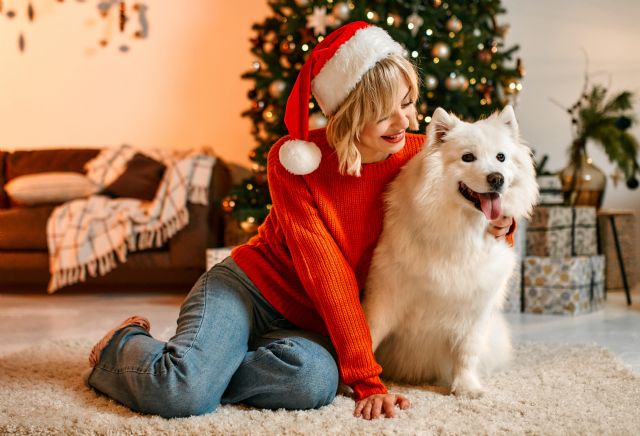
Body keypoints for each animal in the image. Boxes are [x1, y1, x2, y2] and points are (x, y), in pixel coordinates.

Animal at [362, 105, 536, 398]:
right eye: (468, 157)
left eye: (501, 157)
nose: (496, 178)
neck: (461, 230)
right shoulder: (386, 297)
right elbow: (370, 336)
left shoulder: (476, 306)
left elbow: (466, 352)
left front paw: (466, 388)